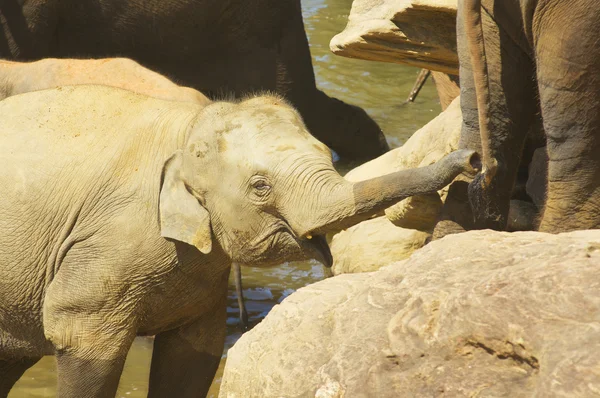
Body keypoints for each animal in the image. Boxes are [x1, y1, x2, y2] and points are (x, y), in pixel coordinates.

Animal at [0, 85, 478, 396]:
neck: (187, 128)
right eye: (260, 187)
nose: (471, 158)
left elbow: (194, 354)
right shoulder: (103, 250)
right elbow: (81, 340)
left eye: (327, 155)